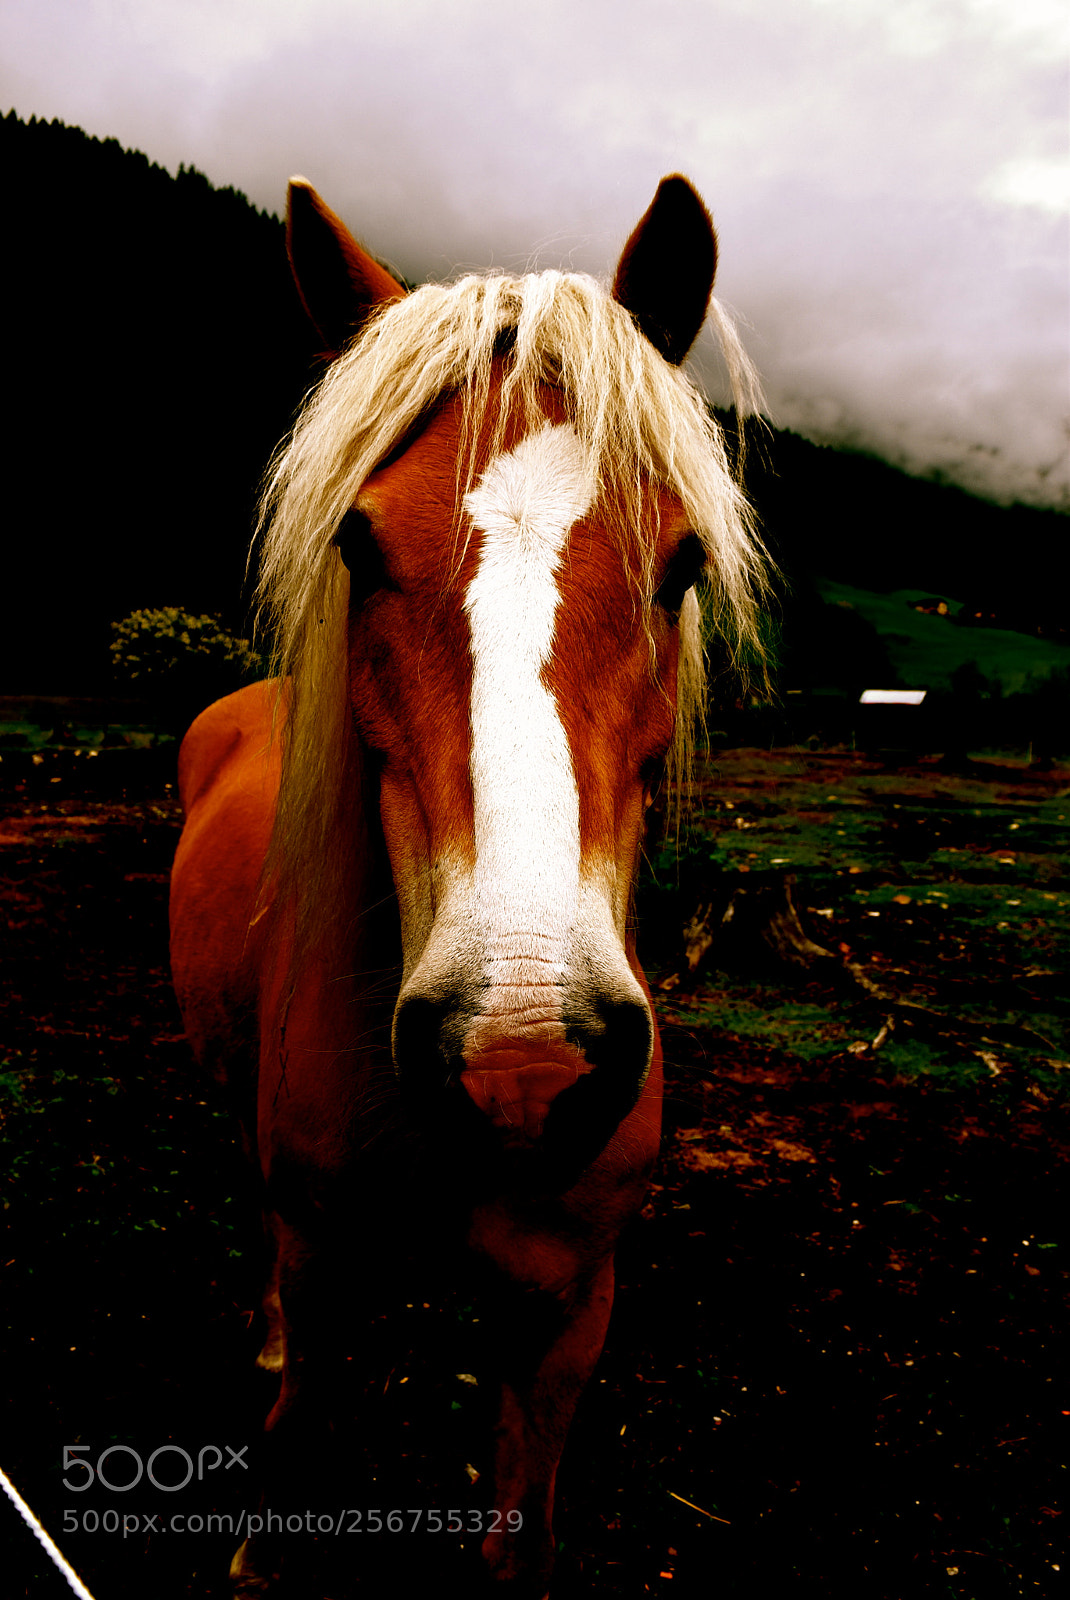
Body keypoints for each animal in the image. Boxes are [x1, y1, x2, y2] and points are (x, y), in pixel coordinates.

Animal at [169, 172, 766, 1597]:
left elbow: (514, 1543)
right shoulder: (327, 1266)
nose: (523, 1059)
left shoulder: (566, 1316)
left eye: (678, 566)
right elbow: (297, 1442)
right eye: (358, 544)